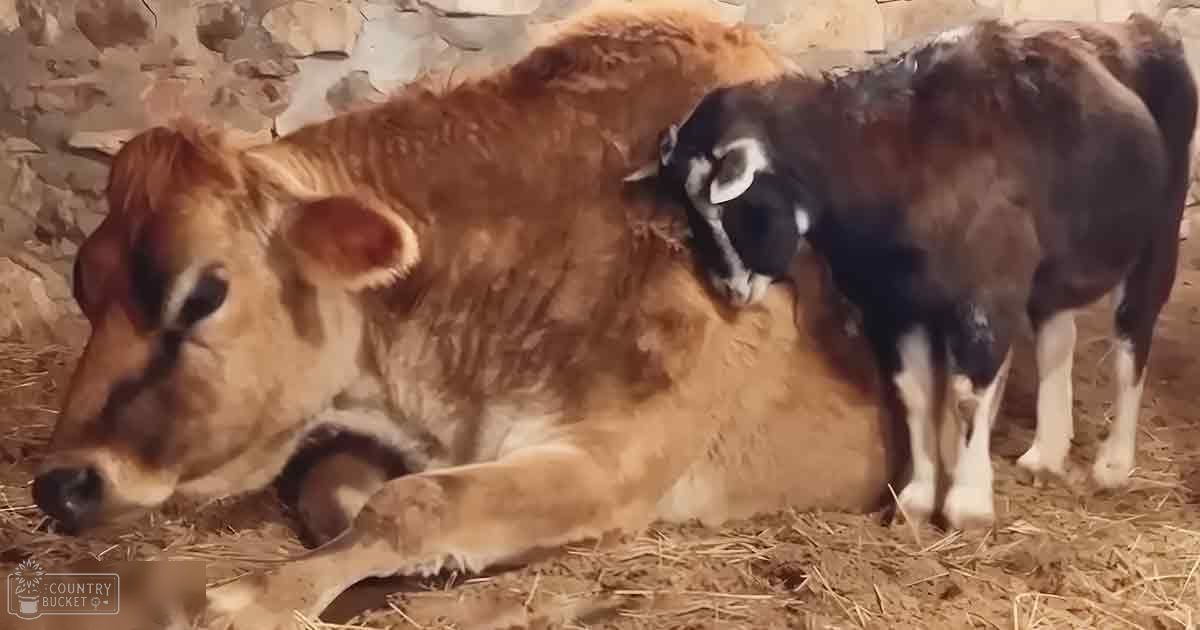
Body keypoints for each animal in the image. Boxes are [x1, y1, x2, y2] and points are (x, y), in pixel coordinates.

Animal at [30, 3, 900, 628]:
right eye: (84, 285)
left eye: (204, 294)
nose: (58, 485)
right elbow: (344, 490)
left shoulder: (624, 452)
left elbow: (417, 500)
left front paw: (256, 596)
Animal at [627, 14, 1197, 531]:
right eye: (686, 213)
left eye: (737, 204)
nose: (729, 287)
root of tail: (1141, 29)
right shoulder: (896, 305)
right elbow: (915, 395)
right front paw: (917, 500)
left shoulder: (985, 296)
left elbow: (967, 398)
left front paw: (968, 506)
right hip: (1053, 269)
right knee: (1059, 336)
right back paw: (1046, 454)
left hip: (1160, 230)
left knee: (1132, 339)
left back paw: (1113, 464)